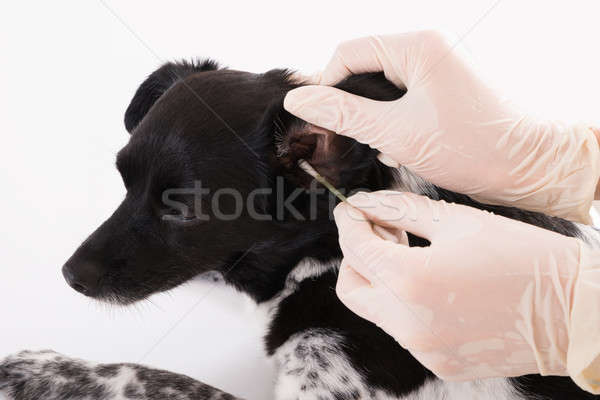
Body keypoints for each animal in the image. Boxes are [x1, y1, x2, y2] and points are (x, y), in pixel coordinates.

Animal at [2, 60, 596, 400]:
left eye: (181, 208)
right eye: (123, 180)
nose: (70, 275)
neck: (327, 258)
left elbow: (151, 377)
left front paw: (41, 369)